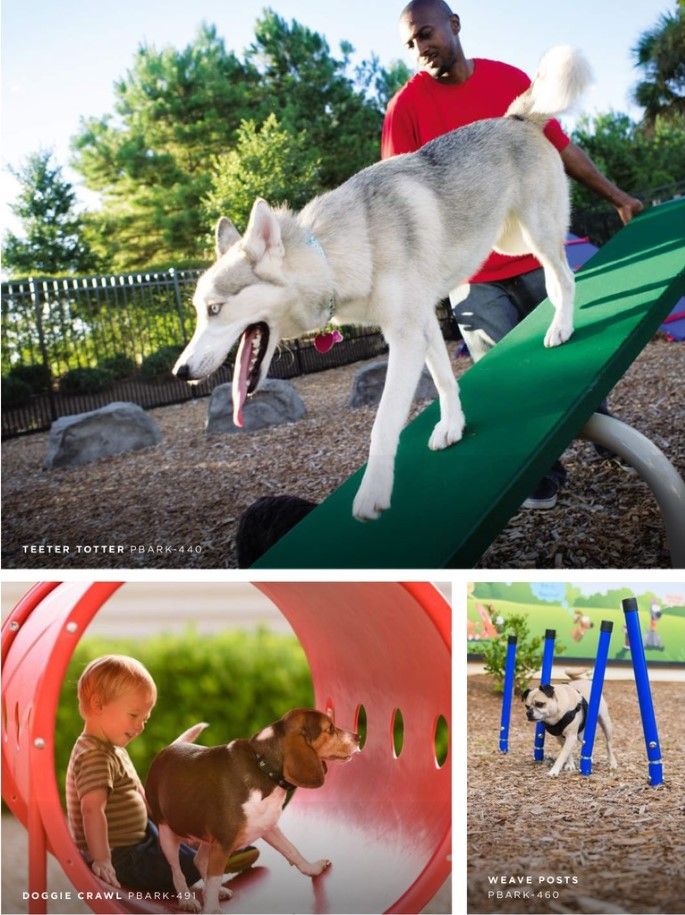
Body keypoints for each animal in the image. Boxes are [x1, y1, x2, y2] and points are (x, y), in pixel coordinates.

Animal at [144, 712, 358, 912]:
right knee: (177, 871)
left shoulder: (266, 826)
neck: (262, 766)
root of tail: (167, 749)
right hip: (167, 834)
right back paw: (187, 900)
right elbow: (213, 878)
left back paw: (218, 891)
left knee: (199, 860)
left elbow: (292, 850)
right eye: (330, 729)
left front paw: (313, 869)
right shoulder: (223, 844)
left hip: (207, 836)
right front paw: (212, 909)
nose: (357, 736)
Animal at [174, 48, 592, 524]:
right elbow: (445, 381)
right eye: (198, 310)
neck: (334, 255)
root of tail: (516, 118)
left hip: (536, 232)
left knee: (564, 273)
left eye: (215, 309)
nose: (180, 372)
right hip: (512, 241)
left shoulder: (405, 336)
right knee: (556, 274)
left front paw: (372, 491)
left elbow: (383, 423)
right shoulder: (424, 324)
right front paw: (452, 426)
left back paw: (561, 326)